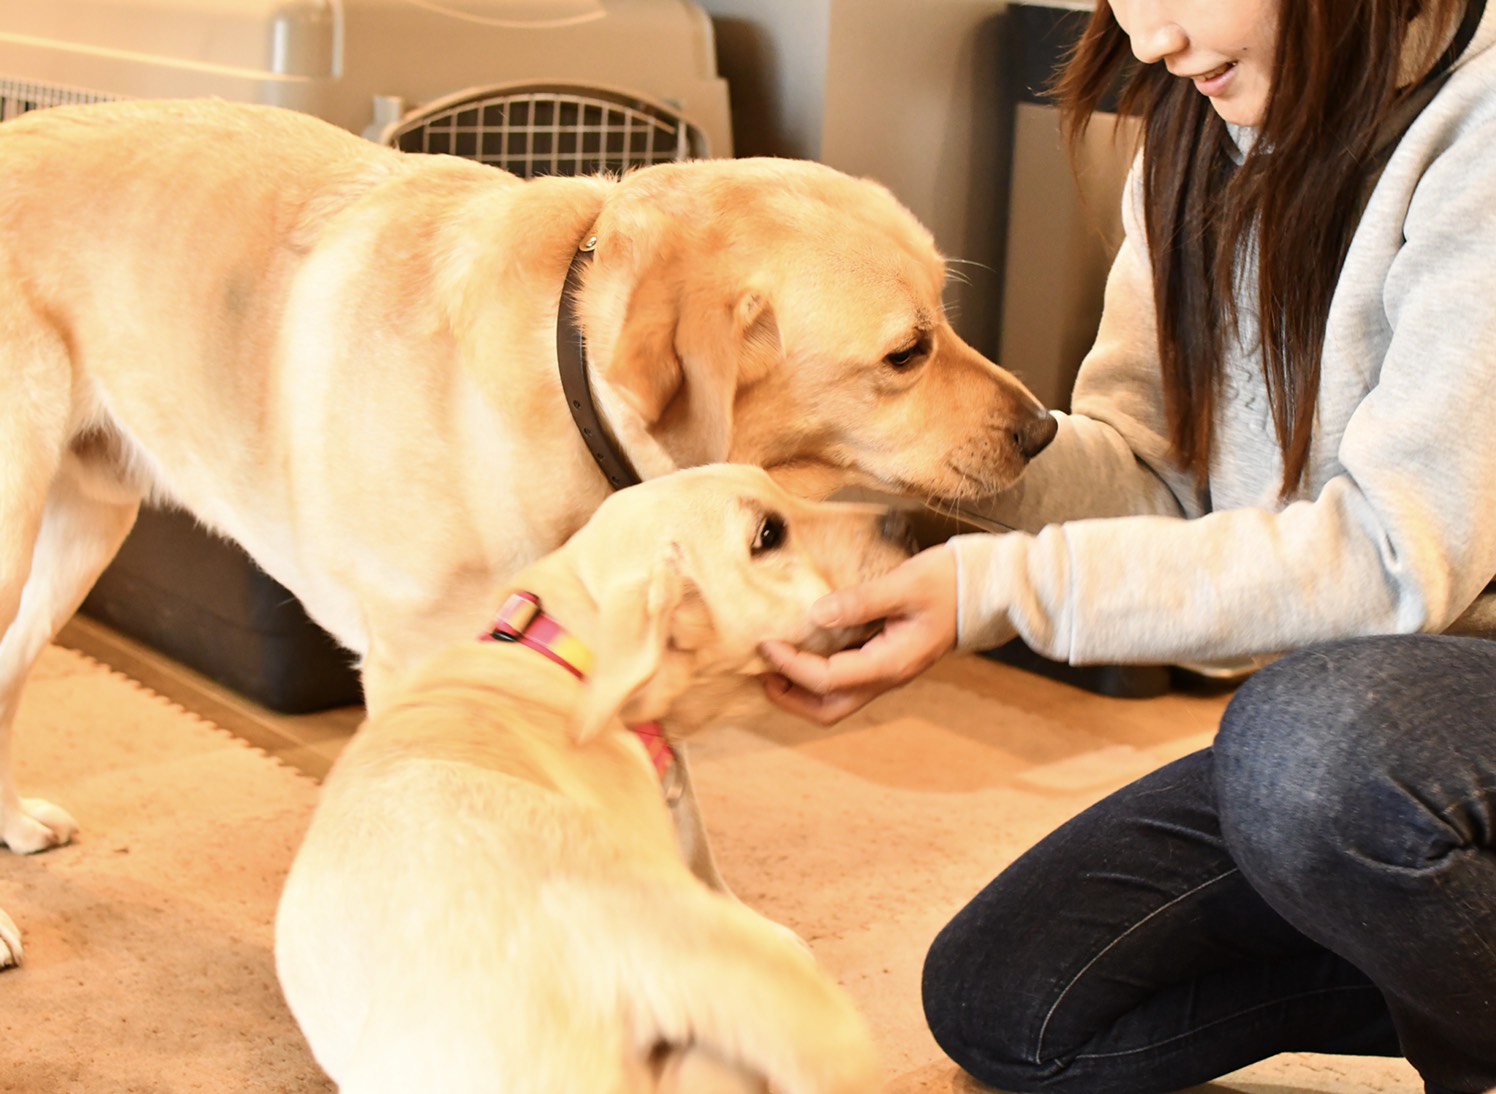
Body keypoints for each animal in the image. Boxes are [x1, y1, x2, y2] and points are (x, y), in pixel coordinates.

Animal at [0, 96, 1053, 969]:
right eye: (906, 354)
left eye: (948, 314)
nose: (1044, 430)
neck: (564, 392)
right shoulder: (421, 671)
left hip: (81, 533)